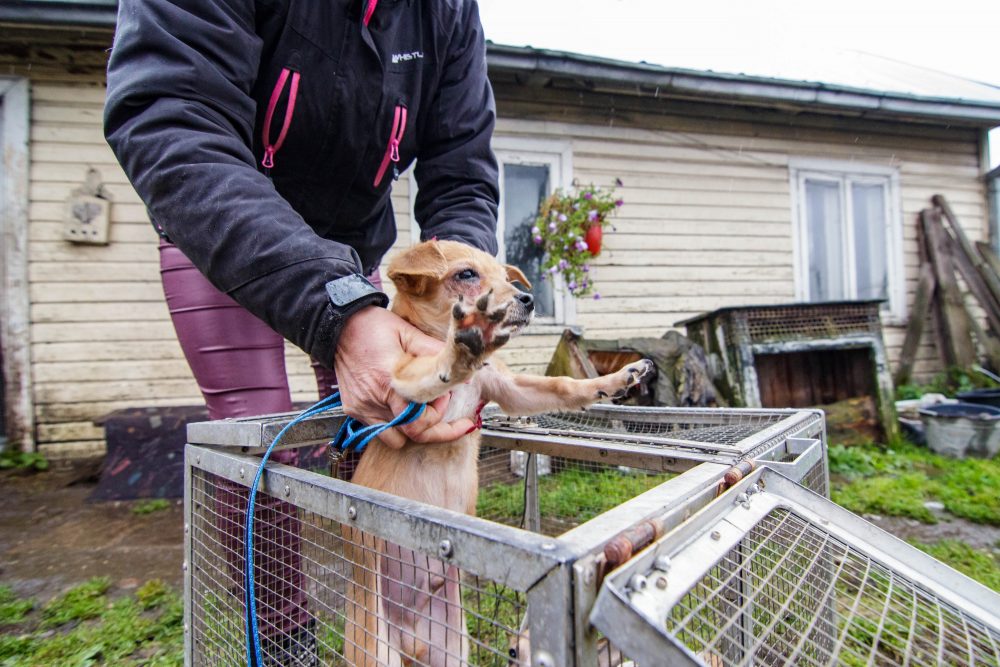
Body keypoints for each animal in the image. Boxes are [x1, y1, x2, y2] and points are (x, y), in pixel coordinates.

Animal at [343, 240, 654, 667]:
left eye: (508, 277)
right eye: (466, 274)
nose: (528, 299)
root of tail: (410, 643)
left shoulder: (510, 389)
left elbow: (562, 385)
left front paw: (617, 379)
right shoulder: (404, 383)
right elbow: (432, 370)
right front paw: (459, 348)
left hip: (452, 646)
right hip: (375, 648)